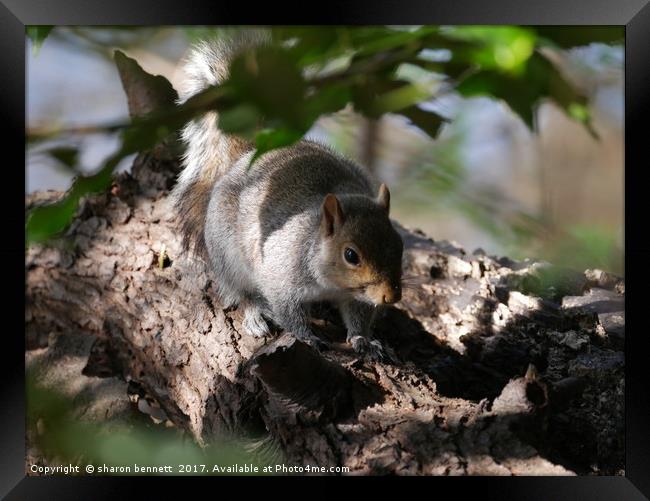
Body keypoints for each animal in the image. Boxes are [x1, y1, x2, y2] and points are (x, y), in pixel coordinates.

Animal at [170, 31, 402, 358]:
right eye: (351, 255)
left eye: (399, 244)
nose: (391, 297)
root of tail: (251, 156)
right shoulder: (279, 275)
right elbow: (288, 312)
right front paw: (307, 337)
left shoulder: (355, 298)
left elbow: (358, 317)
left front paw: (364, 340)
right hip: (227, 254)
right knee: (240, 290)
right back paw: (254, 312)